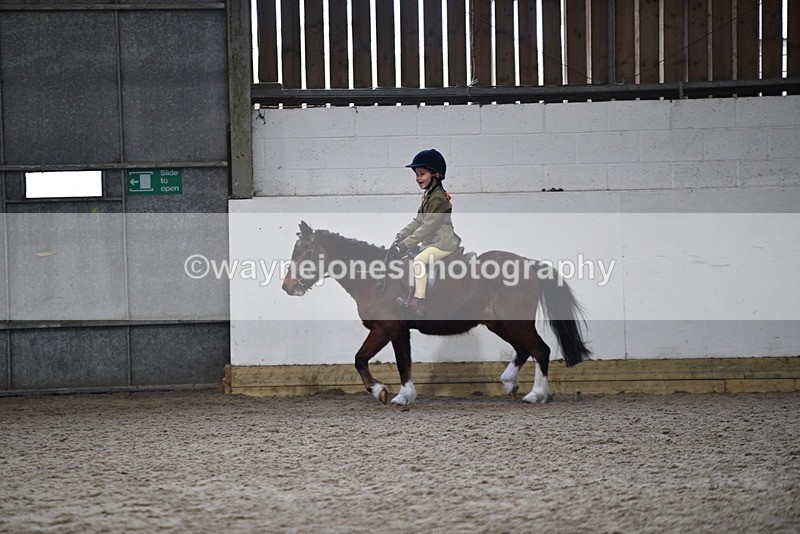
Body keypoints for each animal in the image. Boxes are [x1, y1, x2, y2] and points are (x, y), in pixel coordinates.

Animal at [281, 221, 591, 405]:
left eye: (303, 252)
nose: (287, 286)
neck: (376, 277)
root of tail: (529, 263)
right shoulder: (396, 331)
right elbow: (396, 362)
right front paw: (399, 393)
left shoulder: (387, 328)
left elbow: (366, 359)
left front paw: (386, 392)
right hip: (500, 323)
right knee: (525, 349)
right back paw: (509, 383)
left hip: (517, 323)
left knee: (541, 350)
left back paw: (535, 394)